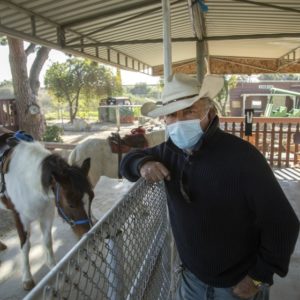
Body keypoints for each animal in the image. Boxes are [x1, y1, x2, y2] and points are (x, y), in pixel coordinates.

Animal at [0, 139, 94, 290]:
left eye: (91, 198)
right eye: (71, 204)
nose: (87, 235)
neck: (27, 180)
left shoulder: (47, 214)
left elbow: (48, 241)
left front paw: (53, 267)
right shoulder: (19, 218)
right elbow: (25, 247)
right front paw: (27, 278)